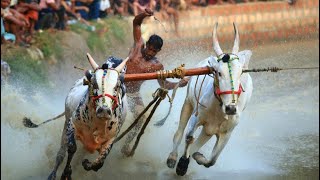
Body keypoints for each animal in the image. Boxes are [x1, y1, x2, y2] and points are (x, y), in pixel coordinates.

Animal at [166, 22, 254, 176]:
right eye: (219, 72)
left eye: (241, 72)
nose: (231, 108)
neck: (219, 108)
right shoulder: (196, 117)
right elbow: (189, 138)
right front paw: (182, 164)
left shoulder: (227, 132)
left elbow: (212, 160)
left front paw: (197, 157)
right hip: (188, 104)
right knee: (179, 133)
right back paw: (172, 157)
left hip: (208, 130)